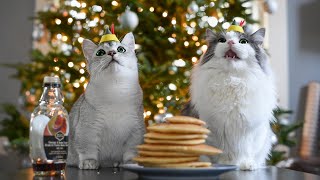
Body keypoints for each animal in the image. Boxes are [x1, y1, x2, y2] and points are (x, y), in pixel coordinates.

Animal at [67, 33, 145, 169]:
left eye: (121, 49)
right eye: (100, 52)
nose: (112, 52)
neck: (116, 92)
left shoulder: (136, 131)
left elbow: (132, 151)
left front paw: (131, 162)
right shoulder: (88, 129)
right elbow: (87, 148)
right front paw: (89, 161)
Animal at [182, 28, 278, 170]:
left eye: (243, 41)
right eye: (222, 40)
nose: (231, 42)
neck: (232, 80)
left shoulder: (248, 130)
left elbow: (245, 151)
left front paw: (246, 165)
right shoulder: (215, 129)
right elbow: (220, 151)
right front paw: (224, 163)